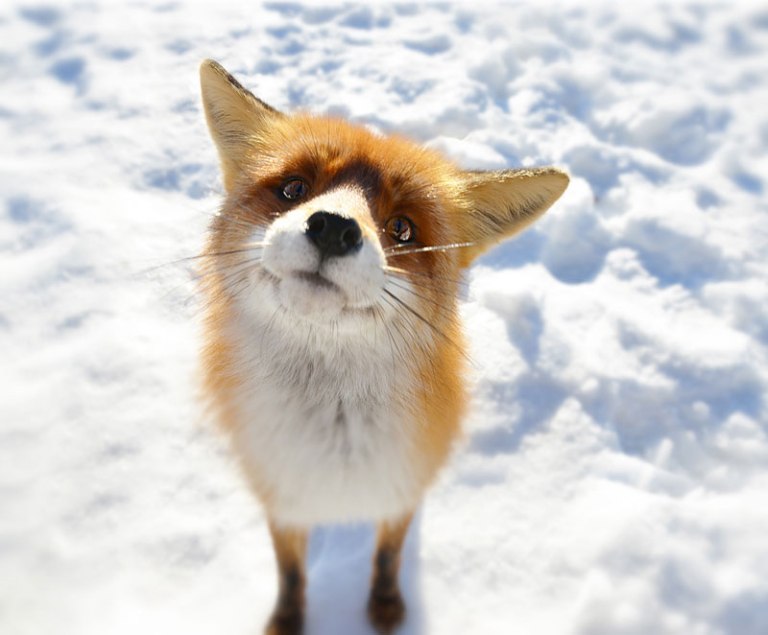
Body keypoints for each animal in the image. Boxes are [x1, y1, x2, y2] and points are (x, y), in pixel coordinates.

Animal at [198, 59, 568, 635]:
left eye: (403, 228)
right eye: (294, 188)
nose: (332, 228)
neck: (334, 443)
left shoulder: (402, 488)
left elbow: (389, 555)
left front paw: (387, 607)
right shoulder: (280, 495)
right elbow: (291, 572)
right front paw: (288, 620)